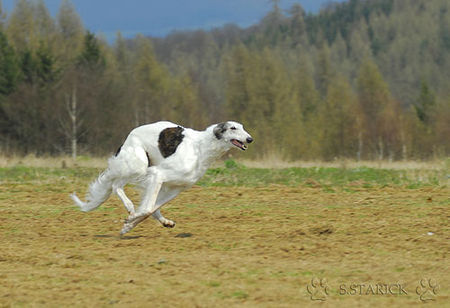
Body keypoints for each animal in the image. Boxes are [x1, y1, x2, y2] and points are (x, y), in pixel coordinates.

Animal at [71, 120, 253, 233]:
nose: (250, 139)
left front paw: (129, 226)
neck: (201, 148)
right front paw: (131, 220)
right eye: (233, 128)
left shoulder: (176, 187)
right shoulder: (158, 174)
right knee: (116, 185)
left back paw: (164, 221)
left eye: (242, 127)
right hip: (139, 165)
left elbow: (150, 209)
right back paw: (130, 207)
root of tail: (128, 137)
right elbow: (146, 208)